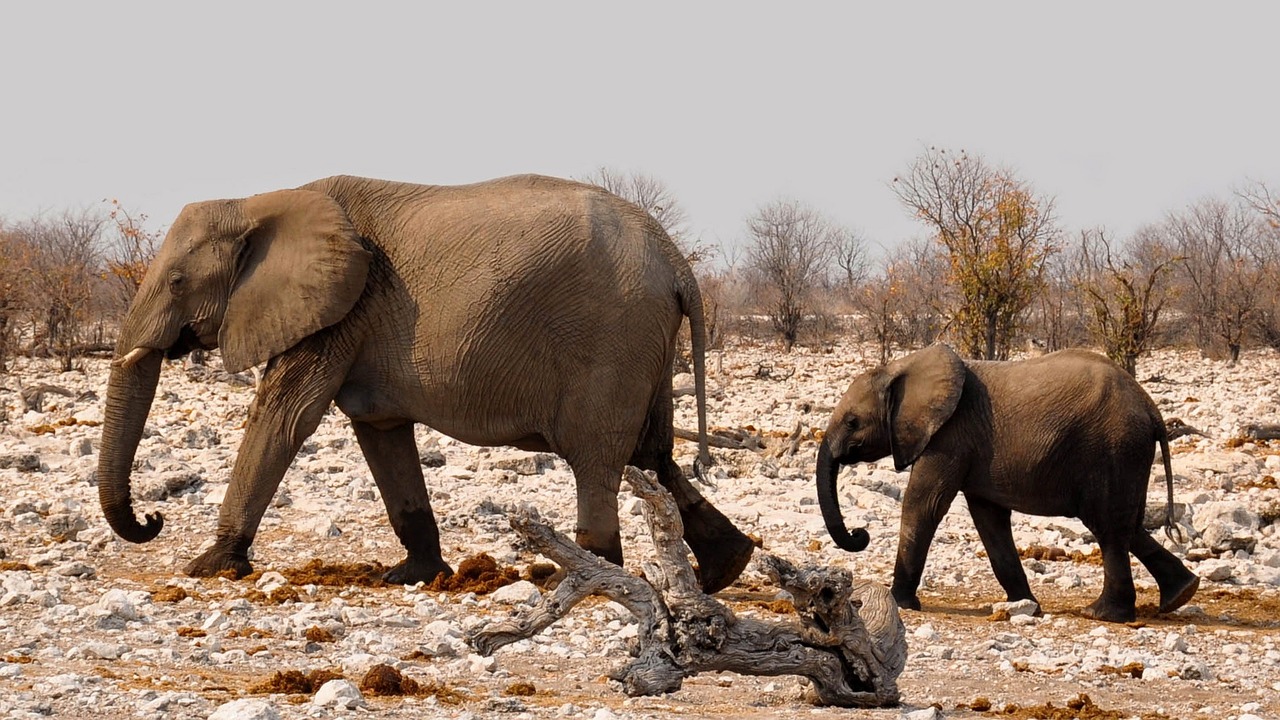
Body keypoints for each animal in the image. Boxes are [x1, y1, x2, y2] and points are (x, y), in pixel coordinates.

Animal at [97, 174, 756, 593]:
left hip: (614, 339)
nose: (153, 519)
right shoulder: (353, 319)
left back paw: (592, 574)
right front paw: (413, 575)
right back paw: (722, 570)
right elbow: (380, 431)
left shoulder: (340, 311)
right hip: (647, 344)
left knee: (598, 458)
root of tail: (677, 264)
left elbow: (285, 418)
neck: (258, 203)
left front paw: (208, 566)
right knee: (654, 455)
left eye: (177, 282)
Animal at [816, 344, 1199, 623]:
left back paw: (1102, 614)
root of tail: (1152, 409)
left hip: (1113, 449)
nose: (859, 534)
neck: (900, 368)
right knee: (1126, 525)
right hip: (1125, 454)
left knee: (1107, 526)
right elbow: (989, 519)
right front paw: (1026, 606)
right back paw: (1181, 594)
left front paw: (899, 602)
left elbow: (923, 504)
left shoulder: (949, 437)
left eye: (852, 422)